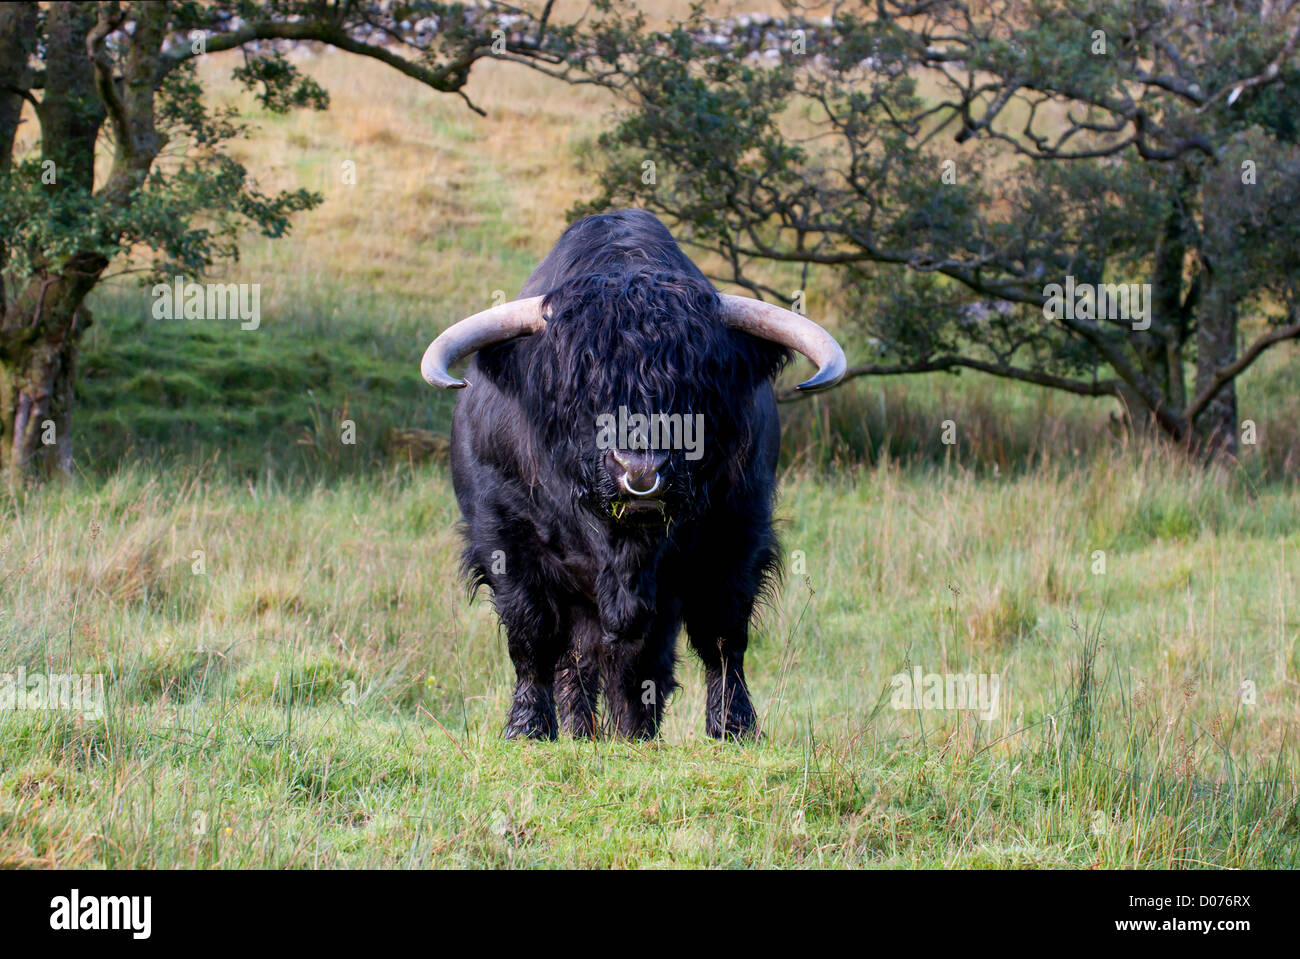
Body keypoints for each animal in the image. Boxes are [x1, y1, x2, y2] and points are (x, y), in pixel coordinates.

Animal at [421, 209, 844, 740]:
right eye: (578, 388)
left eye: (695, 387)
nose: (640, 470)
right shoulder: (503, 535)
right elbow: (532, 636)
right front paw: (528, 728)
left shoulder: (738, 533)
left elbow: (719, 637)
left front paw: (731, 727)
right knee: (576, 660)